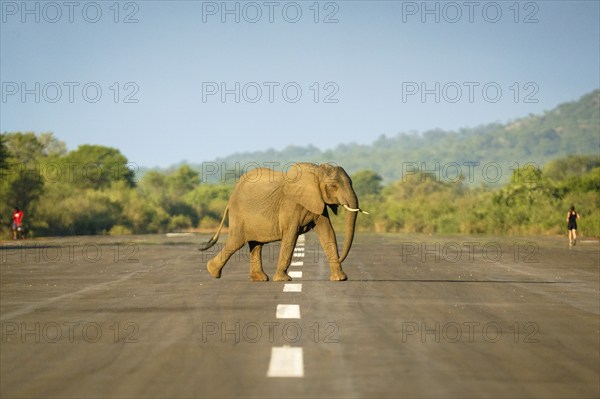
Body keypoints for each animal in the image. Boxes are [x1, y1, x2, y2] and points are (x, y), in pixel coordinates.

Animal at [198, 162, 366, 282]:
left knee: (256, 244)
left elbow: (328, 233)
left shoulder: (318, 204)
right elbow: (290, 236)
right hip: (239, 214)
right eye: (333, 185)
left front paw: (340, 278)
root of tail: (232, 194)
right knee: (236, 241)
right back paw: (212, 271)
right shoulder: (291, 204)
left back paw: (259, 279)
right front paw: (283, 279)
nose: (340, 258)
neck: (316, 171)